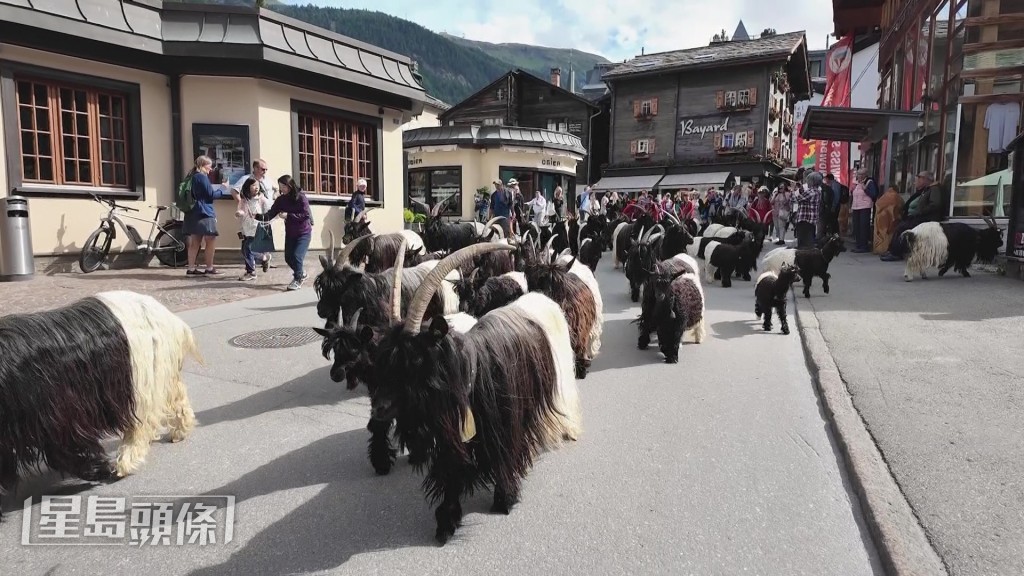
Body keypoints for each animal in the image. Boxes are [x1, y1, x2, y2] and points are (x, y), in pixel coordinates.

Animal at [0, 289, 201, 518]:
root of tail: (166, 314)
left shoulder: (57, 415)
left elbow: (61, 451)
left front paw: (99, 469)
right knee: (176, 395)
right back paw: (181, 429)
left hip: (139, 378)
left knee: (141, 423)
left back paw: (125, 462)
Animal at [368, 240, 581, 541]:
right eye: (384, 360)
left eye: (416, 360)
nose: (379, 408)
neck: (471, 373)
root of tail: (541, 297)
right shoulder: (453, 434)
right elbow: (452, 471)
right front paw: (446, 522)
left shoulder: (503, 426)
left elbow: (505, 458)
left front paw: (505, 499)